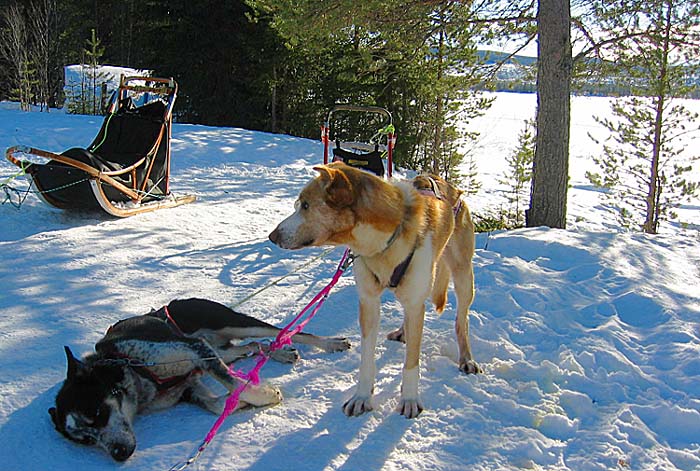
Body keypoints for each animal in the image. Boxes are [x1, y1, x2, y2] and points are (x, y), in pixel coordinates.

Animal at [47, 298, 350, 460]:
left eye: (96, 414)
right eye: (85, 440)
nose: (119, 454)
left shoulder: (194, 350)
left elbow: (232, 382)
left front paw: (262, 394)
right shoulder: (191, 383)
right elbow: (217, 404)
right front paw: (242, 399)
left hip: (232, 323)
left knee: (287, 332)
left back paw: (329, 343)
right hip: (222, 349)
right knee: (255, 345)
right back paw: (280, 353)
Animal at [270, 163, 482, 420]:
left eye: (306, 205)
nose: (272, 236)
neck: (383, 244)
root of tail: (449, 186)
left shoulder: (414, 302)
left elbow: (411, 363)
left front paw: (409, 399)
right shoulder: (369, 302)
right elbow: (367, 359)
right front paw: (362, 397)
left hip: (463, 278)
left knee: (461, 321)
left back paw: (467, 358)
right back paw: (403, 331)